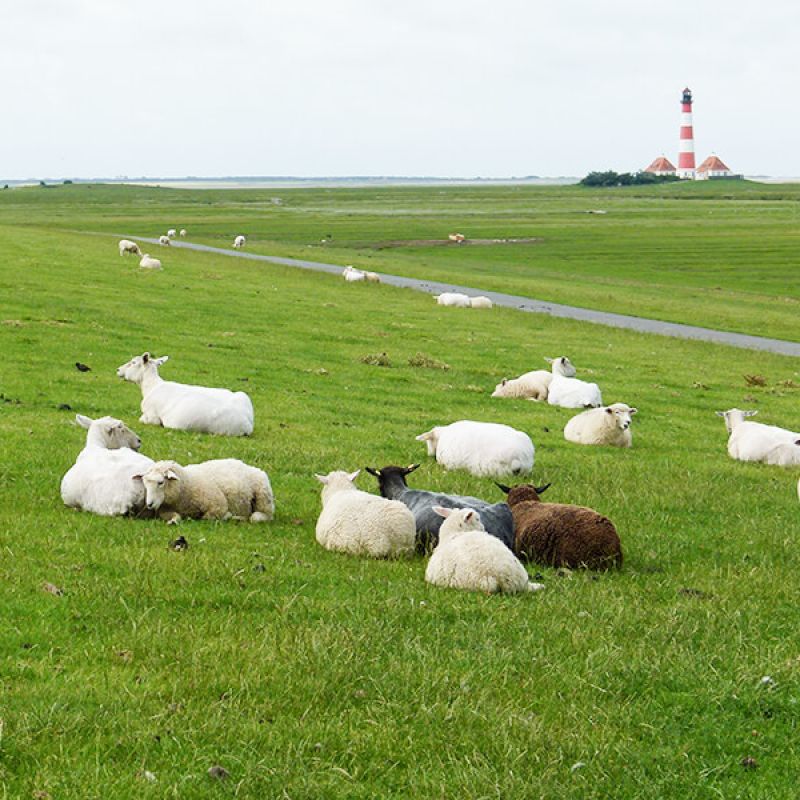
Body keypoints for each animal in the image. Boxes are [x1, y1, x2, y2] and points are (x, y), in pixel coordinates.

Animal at [116, 351, 254, 436]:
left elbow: (143, 420)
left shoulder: (152, 416)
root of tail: (247, 424)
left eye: (133, 362)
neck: (152, 386)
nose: (118, 370)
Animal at [134, 458, 274, 523]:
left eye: (161, 482)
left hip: (263, 496)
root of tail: (246, 465)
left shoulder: (218, 504)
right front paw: (173, 521)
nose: (149, 504)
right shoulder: (165, 510)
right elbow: (176, 516)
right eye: (145, 484)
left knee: (260, 516)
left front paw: (228, 516)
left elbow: (208, 517)